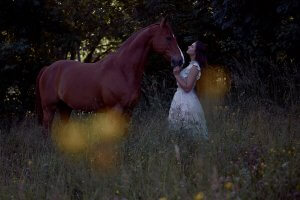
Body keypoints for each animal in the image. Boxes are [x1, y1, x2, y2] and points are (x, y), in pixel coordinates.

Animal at [35, 18, 185, 132]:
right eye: (168, 38)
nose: (180, 60)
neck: (122, 69)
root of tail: (48, 69)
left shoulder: (129, 111)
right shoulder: (115, 110)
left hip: (65, 108)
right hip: (49, 108)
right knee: (46, 130)